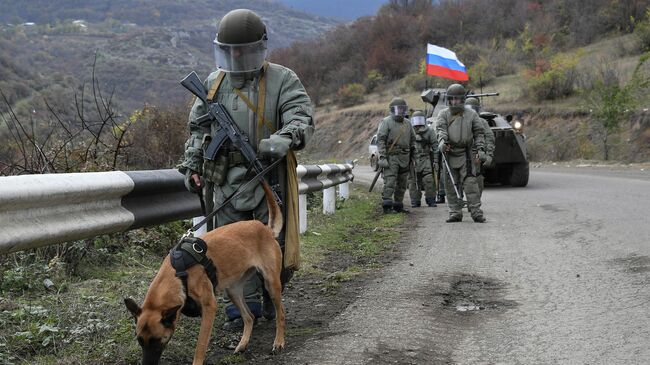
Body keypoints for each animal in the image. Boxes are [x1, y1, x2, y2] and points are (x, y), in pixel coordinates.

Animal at [124, 182, 284, 364]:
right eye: (140, 341)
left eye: (157, 341)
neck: (178, 275)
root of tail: (265, 229)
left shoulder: (209, 308)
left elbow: (200, 344)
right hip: (233, 291)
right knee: (249, 317)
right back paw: (242, 344)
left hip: (271, 284)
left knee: (280, 313)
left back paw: (279, 342)